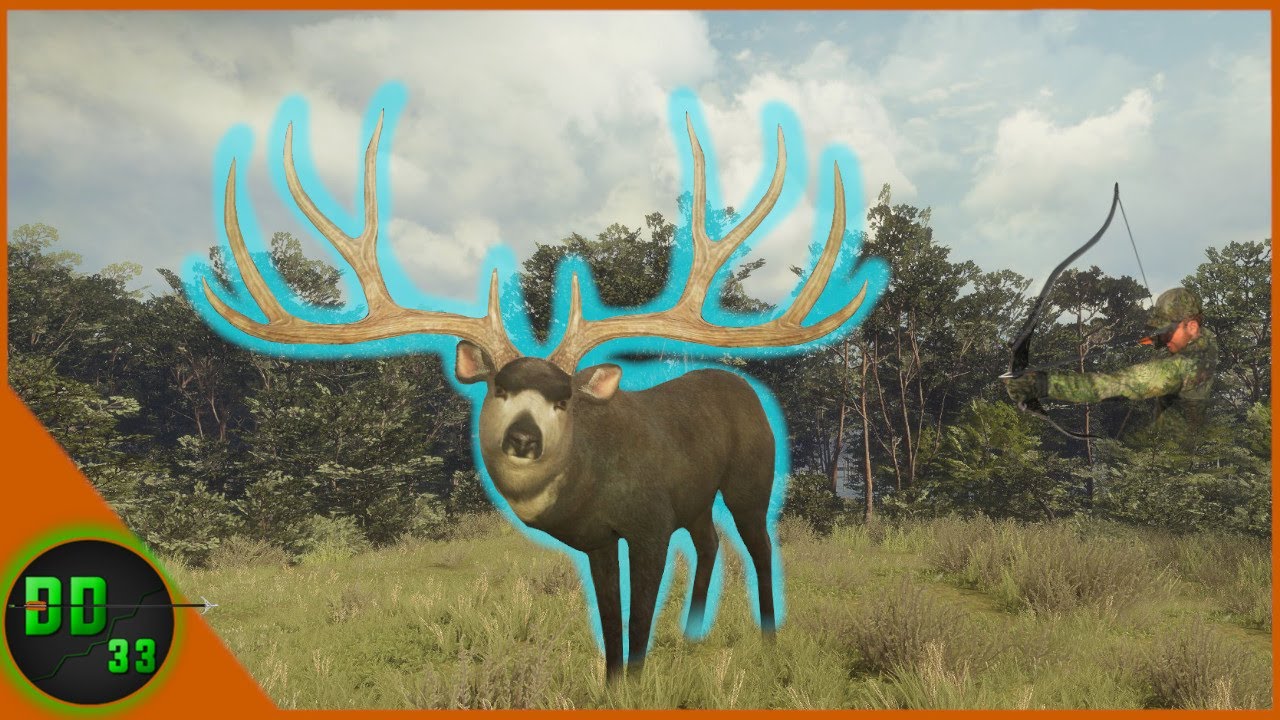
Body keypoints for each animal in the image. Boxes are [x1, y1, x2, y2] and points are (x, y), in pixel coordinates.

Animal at [196, 104, 875, 680]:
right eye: (497, 388)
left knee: (759, 545)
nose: (524, 438)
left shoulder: (650, 523)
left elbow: (636, 620)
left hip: (751, 478)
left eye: (563, 398)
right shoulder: (600, 538)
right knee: (709, 540)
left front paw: (638, 679)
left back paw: (768, 636)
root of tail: (746, 387)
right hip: (696, 496)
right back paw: (694, 631)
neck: (589, 480)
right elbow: (609, 624)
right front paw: (613, 683)